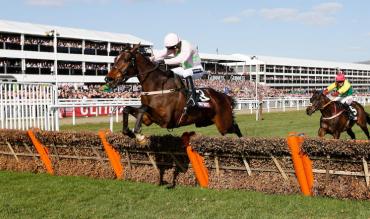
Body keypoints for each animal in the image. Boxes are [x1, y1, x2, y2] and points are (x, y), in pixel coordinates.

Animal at [104, 44, 243, 143]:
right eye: (115, 58)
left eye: (127, 59)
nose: (108, 79)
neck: (157, 87)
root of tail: (224, 96)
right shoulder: (148, 119)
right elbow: (128, 109)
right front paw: (129, 131)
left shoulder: (165, 120)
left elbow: (144, 108)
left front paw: (138, 134)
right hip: (207, 122)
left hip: (224, 124)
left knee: (236, 128)